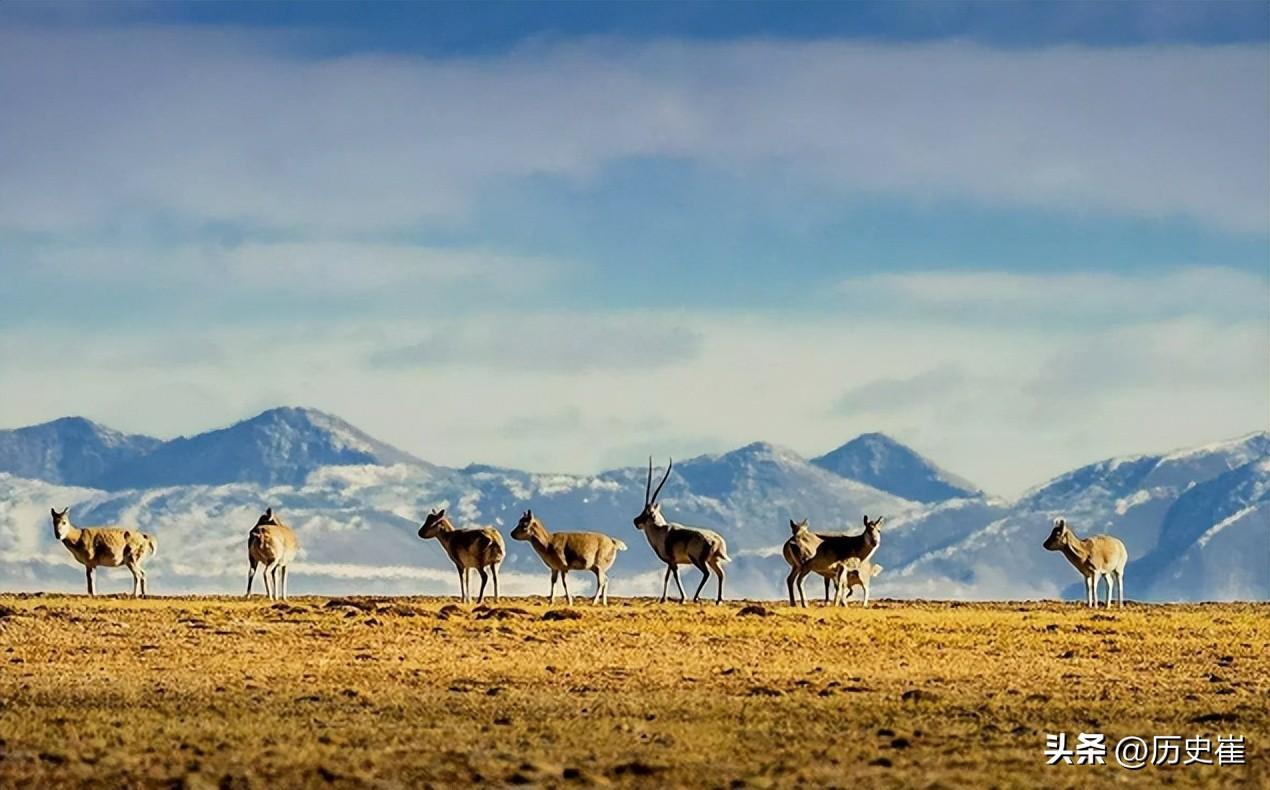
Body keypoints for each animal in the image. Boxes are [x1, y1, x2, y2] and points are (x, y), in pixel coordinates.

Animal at [629, 457, 731, 607]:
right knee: (721, 574)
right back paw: (718, 600)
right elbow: (666, 577)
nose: (635, 521)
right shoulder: (670, 562)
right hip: (713, 560)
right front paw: (663, 599)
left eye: (648, 514)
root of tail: (716, 541)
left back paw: (696, 598)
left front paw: (682, 598)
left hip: (698, 560)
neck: (661, 531)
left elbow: (675, 576)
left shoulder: (672, 562)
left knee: (707, 574)